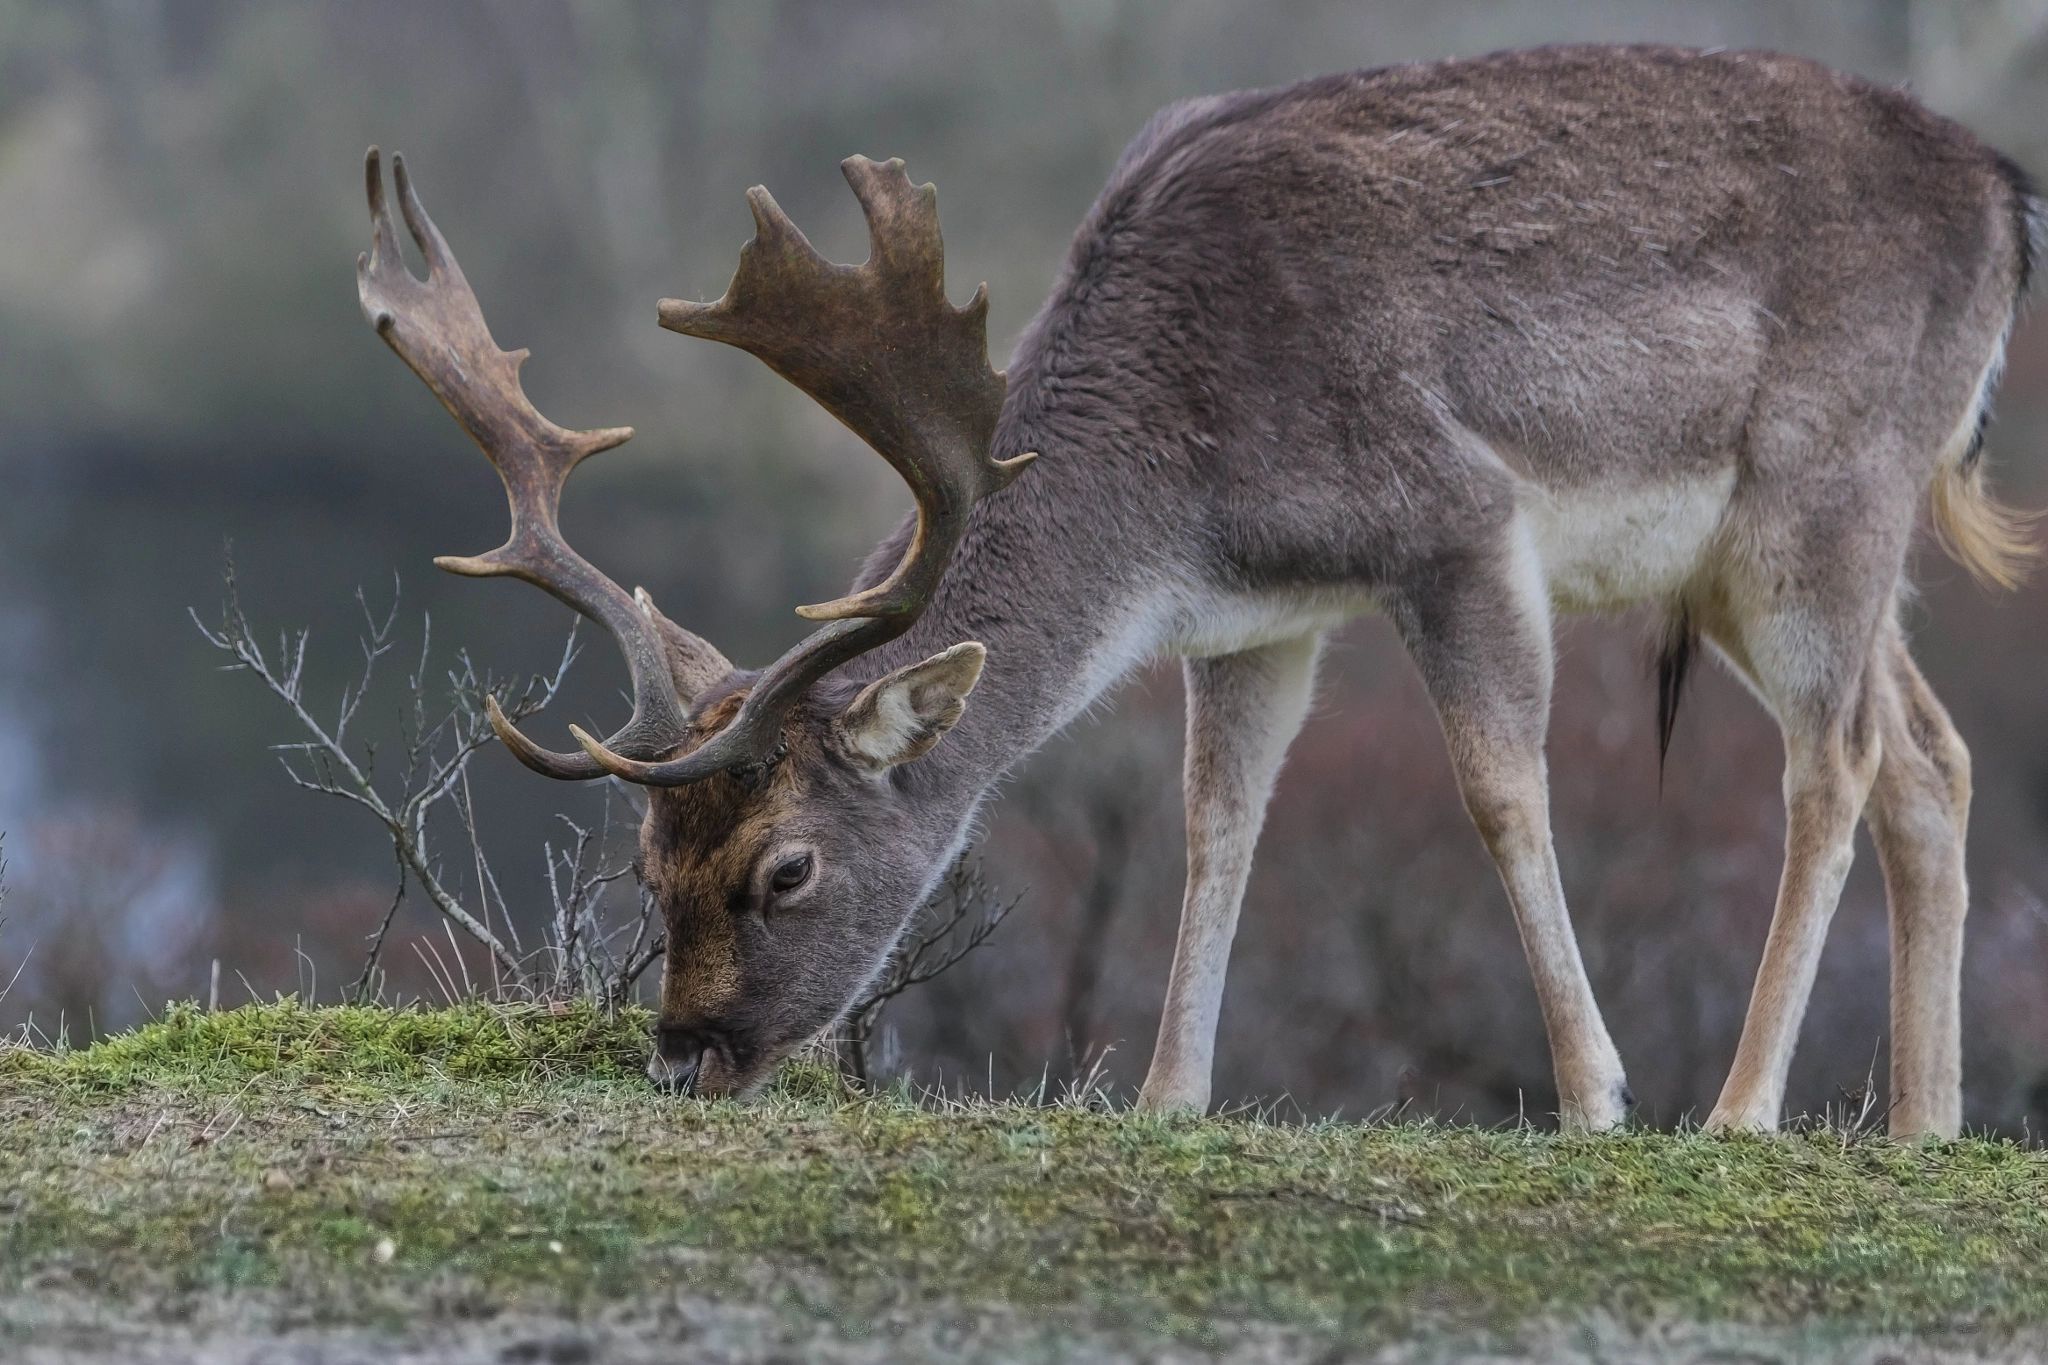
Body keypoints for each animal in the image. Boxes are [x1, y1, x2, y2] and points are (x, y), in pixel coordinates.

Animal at [360, 42, 2039, 1137]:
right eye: (648, 860)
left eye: (787, 868)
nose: (685, 1058)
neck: (1184, 493)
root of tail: (2009, 198)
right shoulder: (1263, 615)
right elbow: (1217, 815)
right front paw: (1171, 1094)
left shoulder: (1456, 515)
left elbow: (1501, 787)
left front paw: (1594, 1093)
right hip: (1773, 558)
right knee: (1936, 752)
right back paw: (1923, 1125)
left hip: (1821, 487)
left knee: (1838, 756)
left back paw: (1745, 1108)